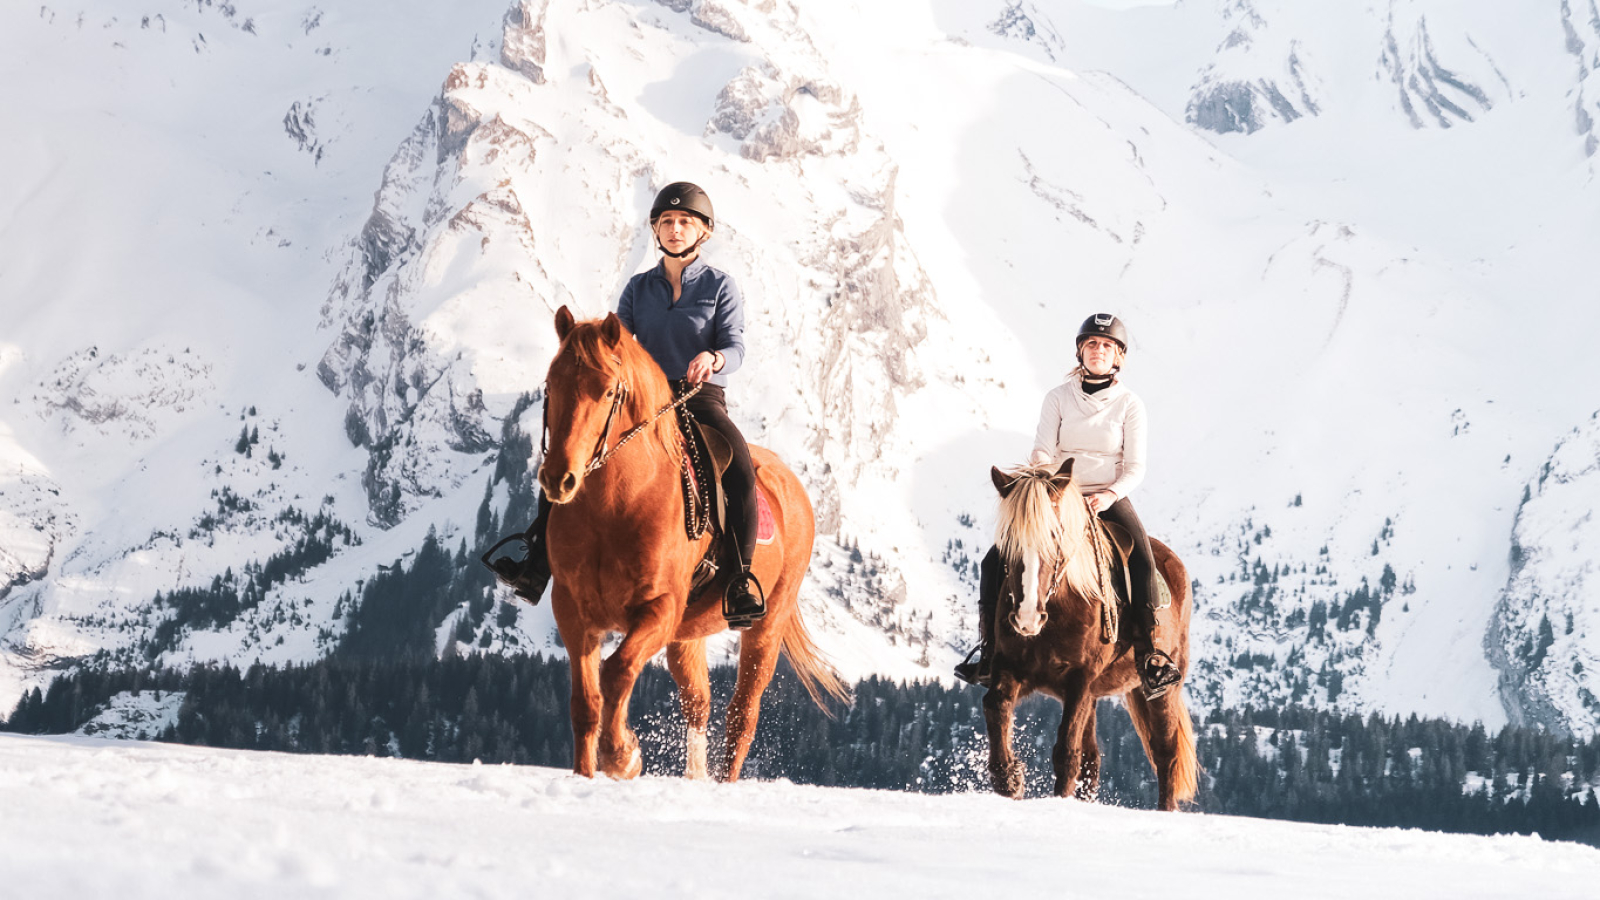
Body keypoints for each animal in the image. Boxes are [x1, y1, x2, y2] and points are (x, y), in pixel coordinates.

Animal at [537, 302, 844, 778]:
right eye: (552, 383)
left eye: (607, 392)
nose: (558, 478)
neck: (617, 506)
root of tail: (792, 487)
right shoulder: (573, 611)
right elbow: (585, 702)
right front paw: (588, 772)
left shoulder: (659, 608)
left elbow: (618, 671)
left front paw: (622, 755)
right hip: (687, 636)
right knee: (699, 704)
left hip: (766, 627)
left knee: (742, 715)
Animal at [979, 461, 1196, 807]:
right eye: (1007, 540)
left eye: (1055, 535)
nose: (1026, 618)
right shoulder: (1008, 665)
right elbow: (995, 706)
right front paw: (1010, 780)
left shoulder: (1080, 679)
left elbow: (1066, 752)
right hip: (1094, 696)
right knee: (1093, 761)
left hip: (1164, 690)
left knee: (1165, 755)